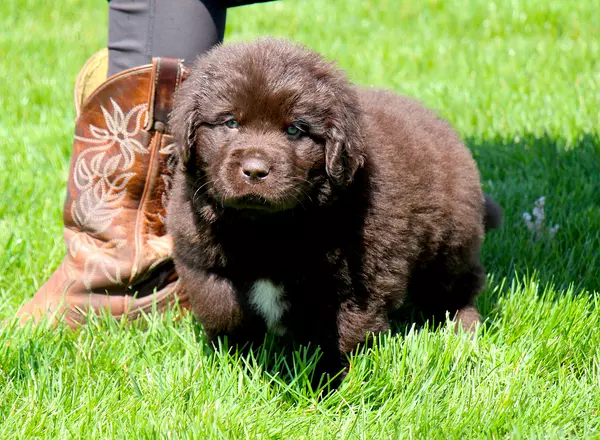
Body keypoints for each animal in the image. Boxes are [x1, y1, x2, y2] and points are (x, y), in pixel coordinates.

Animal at [168, 39, 502, 380]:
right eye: (230, 122)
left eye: (295, 130)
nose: (255, 170)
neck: (267, 229)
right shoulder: (202, 262)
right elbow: (224, 308)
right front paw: (236, 361)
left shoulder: (354, 288)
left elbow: (338, 337)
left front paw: (325, 383)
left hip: (450, 245)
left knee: (457, 288)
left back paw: (463, 330)